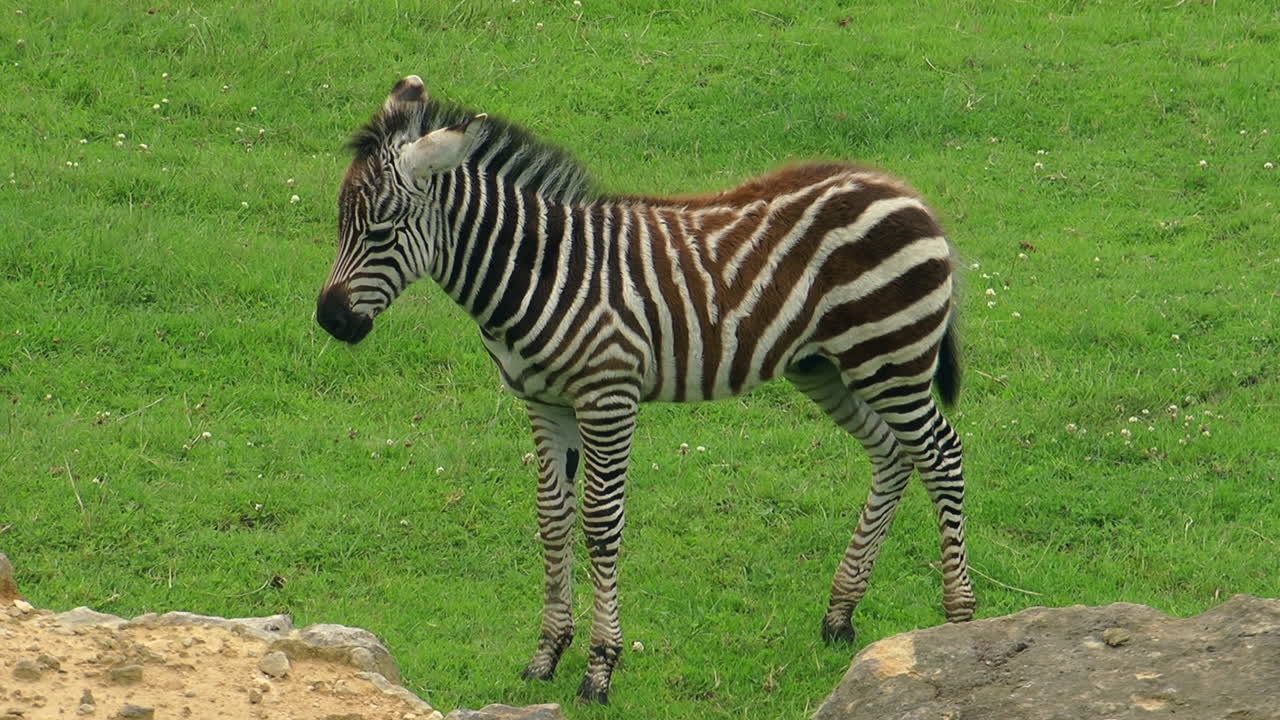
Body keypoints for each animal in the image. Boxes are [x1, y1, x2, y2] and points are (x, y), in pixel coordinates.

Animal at [316, 75, 975, 704]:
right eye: (341, 224)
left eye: (382, 230)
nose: (329, 320)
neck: (539, 272)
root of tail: (904, 191)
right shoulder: (543, 402)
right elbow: (552, 518)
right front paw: (546, 655)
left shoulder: (609, 396)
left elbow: (600, 523)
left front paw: (599, 671)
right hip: (828, 365)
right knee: (892, 455)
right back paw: (840, 615)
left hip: (891, 357)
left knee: (941, 455)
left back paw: (957, 624)